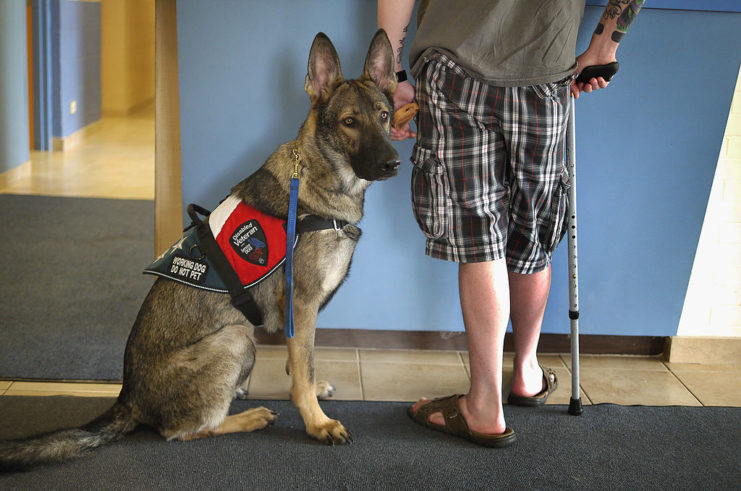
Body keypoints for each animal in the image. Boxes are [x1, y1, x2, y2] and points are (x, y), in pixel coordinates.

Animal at [1, 30, 398, 472]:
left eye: (384, 116)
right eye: (350, 122)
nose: (393, 163)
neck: (319, 175)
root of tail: (127, 397)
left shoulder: (301, 315)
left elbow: (301, 365)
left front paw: (313, 389)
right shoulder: (303, 303)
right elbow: (303, 372)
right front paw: (317, 423)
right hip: (238, 337)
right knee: (181, 431)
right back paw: (247, 417)